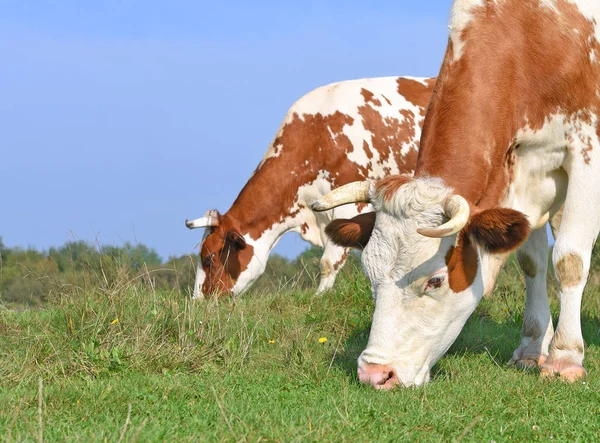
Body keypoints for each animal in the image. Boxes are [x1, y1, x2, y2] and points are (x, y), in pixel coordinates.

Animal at [316, 0, 596, 388]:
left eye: (435, 280)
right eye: (370, 276)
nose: (375, 374)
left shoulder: (587, 149)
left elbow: (568, 259)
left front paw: (564, 357)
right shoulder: (525, 167)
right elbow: (532, 261)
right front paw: (531, 348)